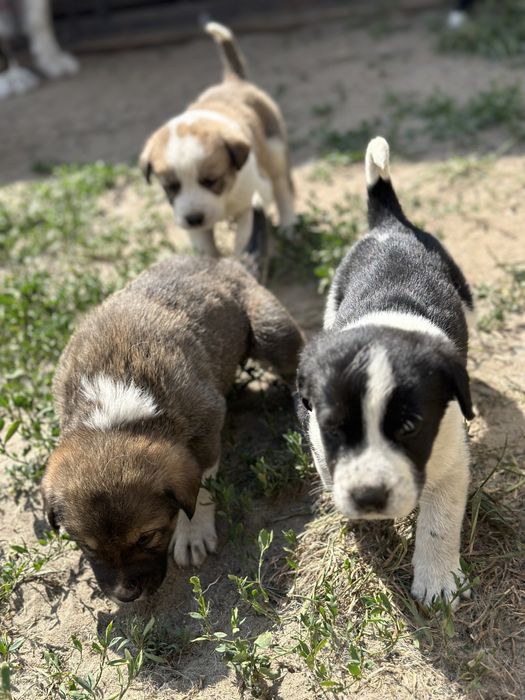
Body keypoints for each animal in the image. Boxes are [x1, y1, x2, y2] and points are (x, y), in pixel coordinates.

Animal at [41, 208, 302, 600]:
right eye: (86, 546)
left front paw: (192, 533)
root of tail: (227, 263)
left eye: (146, 537)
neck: (115, 409)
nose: (125, 595)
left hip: (271, 330)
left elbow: (200, 488)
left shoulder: (207, 425)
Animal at [139, 21, 294, 258]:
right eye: (171, 186)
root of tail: (234, 81)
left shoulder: (252, 201)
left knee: (282, 185)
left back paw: (288, 224)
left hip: (274, 147)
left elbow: (245, 237)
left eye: (211, 181)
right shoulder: (193, 224)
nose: (194, 218)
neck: (226, 196)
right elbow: (205, 247)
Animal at [296, 138, 472, 608]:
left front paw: (437, 581)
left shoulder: (452, 456)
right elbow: (327, 467)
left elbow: (439, 522)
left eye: (409, 427)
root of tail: (391, 225)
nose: (369, 497)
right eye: (335, 428)